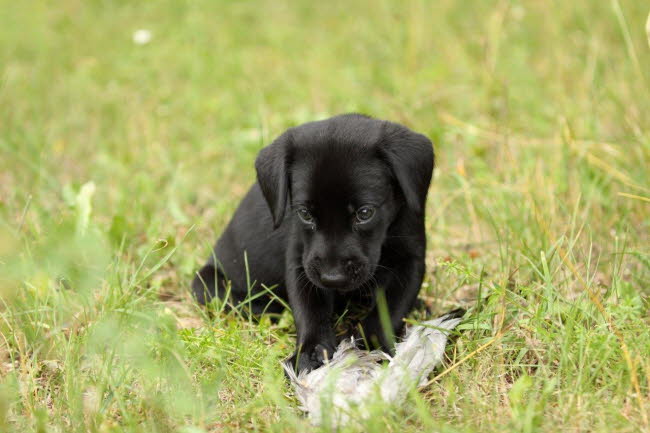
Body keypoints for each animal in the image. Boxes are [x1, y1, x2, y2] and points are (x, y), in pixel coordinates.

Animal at [192, 114, 436, 372]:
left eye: (365, 213)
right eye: (305, 214)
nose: (332, 278)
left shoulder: (411, 259)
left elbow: (391, 307)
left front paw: (369, 346)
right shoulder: (301, 261)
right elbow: (309, 310)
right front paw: (311, 351)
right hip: (207, 284)